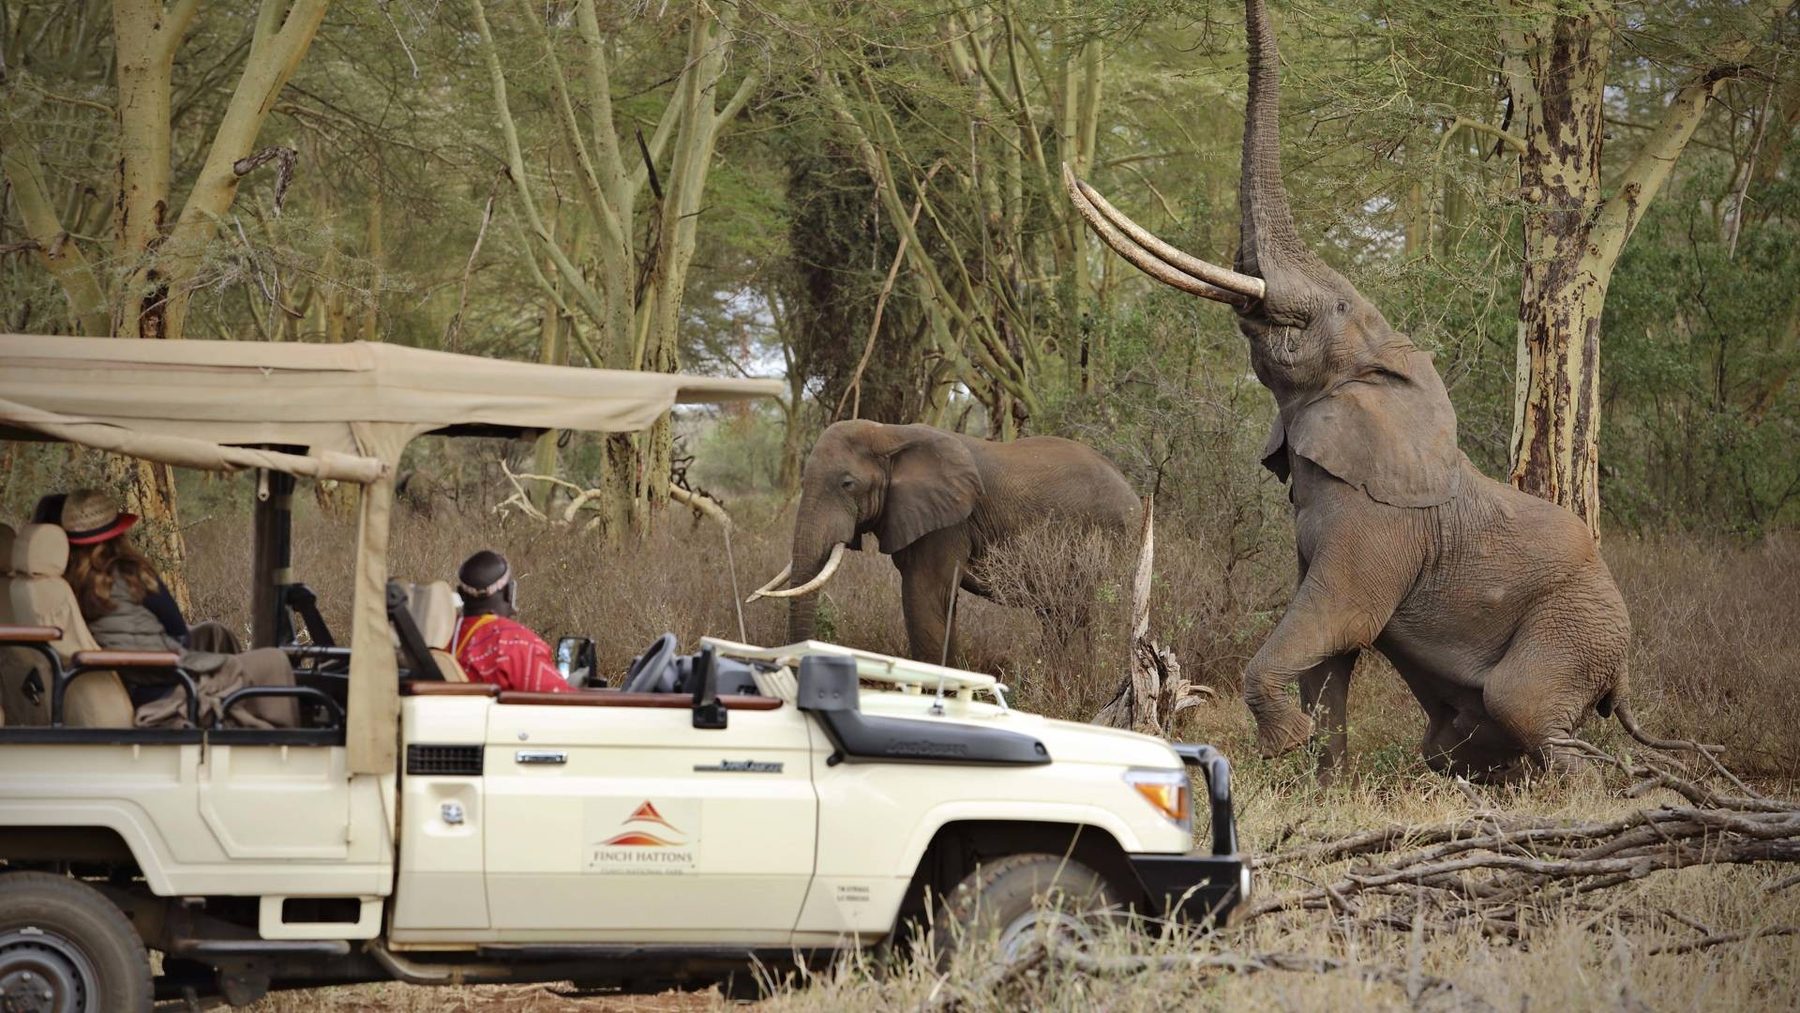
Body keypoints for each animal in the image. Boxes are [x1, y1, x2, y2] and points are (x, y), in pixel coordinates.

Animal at [1063, 0, 1675, 783]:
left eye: (1335, 307)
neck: (1387, 373)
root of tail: (1622, 666)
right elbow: (1331, 654)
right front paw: (1320, 774)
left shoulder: (1379, 525)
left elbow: (1338, 617)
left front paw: (1283, 746)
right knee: (1457, 739)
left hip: (1576, 627)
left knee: (1525, 706)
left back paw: (1581, 789)